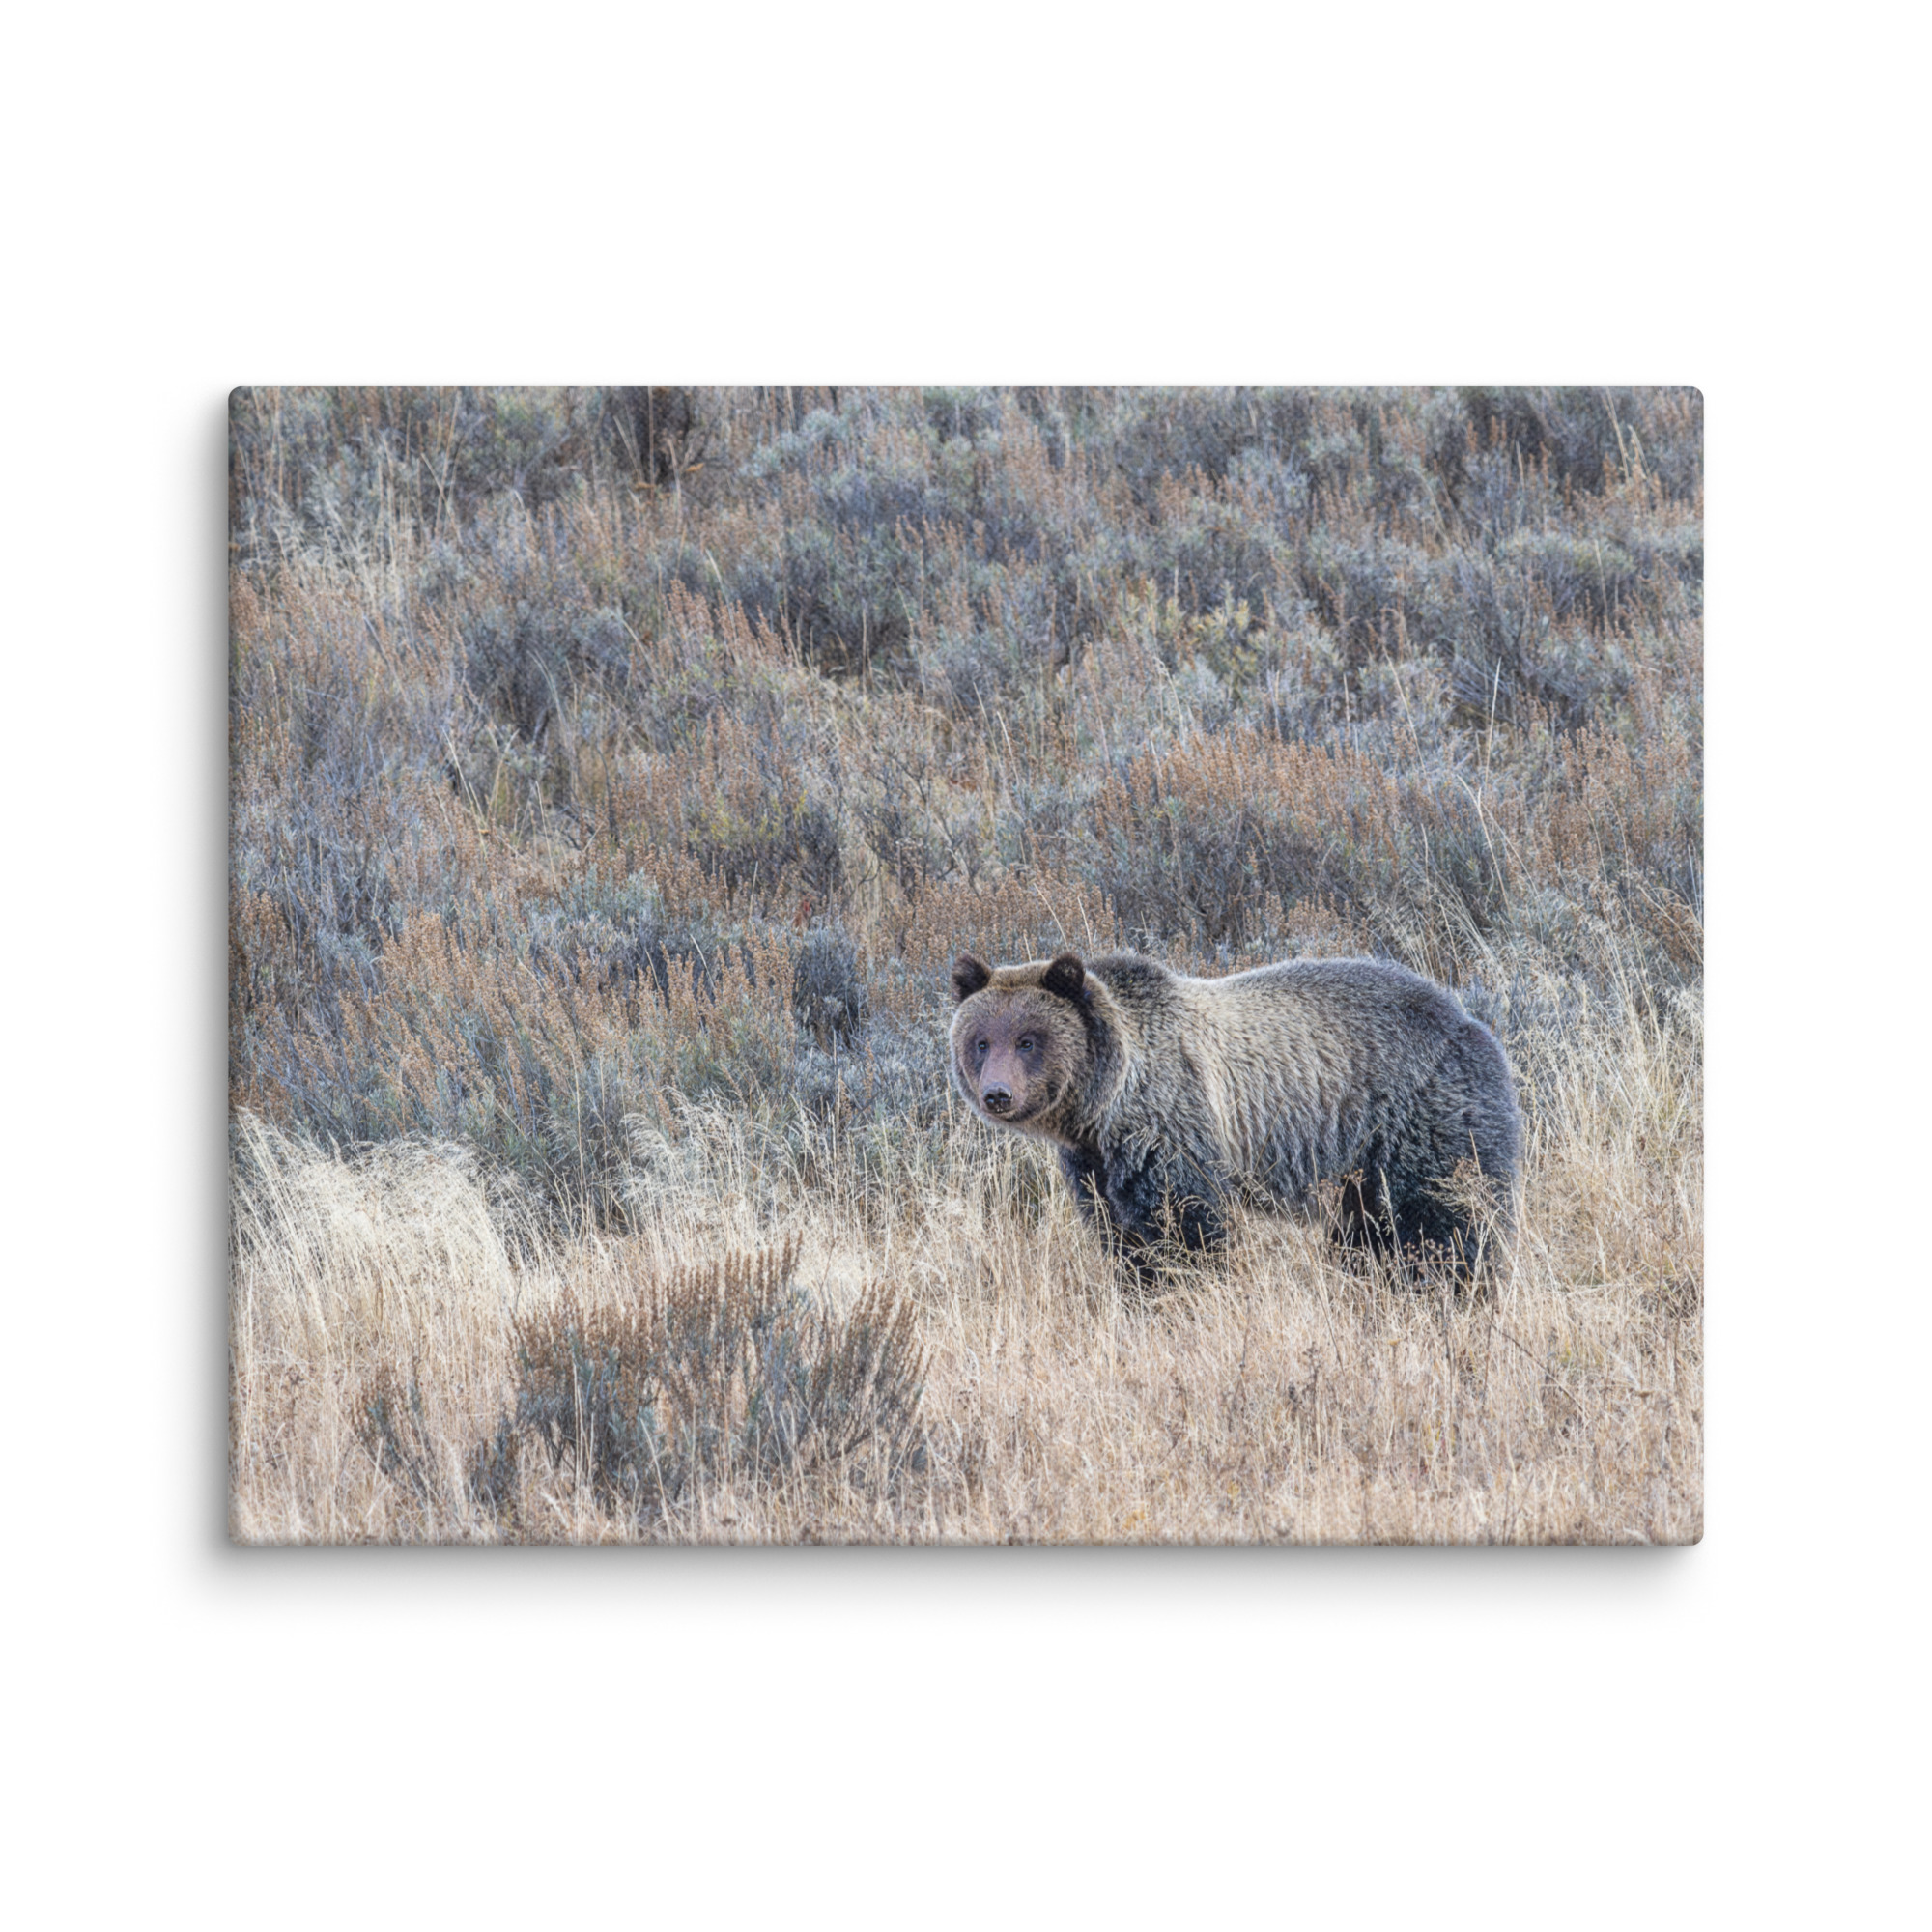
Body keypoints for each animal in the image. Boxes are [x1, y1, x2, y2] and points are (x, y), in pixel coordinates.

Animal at [949, 948, 1520, 1278]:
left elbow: (1187, 1227)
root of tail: (1470, 1020)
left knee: (1445, 1219)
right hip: (1360, 1168)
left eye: (1028, 1040)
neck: (1104, 1105)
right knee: (1367, 1234)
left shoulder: (1172, 1125)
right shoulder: (1095, 1164)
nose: (998, 1094)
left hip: (1422, 1119)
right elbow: (1120, 1235)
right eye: (981, 1041)